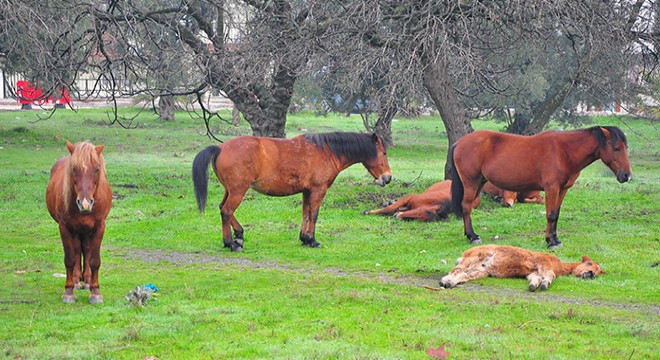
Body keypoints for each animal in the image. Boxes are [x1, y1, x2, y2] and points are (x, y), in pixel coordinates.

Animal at [45, 141, 111, 304]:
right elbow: (69, 259)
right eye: (74, 169)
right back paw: (76, 280)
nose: (85, 204)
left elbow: (94, 260)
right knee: (76, 251)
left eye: (97, 169)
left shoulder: (99, 227)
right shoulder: (64, 227)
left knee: (86, 250)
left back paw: (86, 280)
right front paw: (68, 292)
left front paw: (95, 292)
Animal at [192, 131, 392, 252]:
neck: (326, 151)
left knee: (222, 208)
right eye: (383, 153)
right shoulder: (318, 190)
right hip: (238, 191)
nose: (388, 178)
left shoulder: (306, 191)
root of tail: (220, 148)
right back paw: (231, 243)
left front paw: (304, 238)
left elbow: (305, 214)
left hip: (230, 190)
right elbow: (314, 215)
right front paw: (312, 240)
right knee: (227, 211)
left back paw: (238, 235)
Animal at [440, 245, 604, 292]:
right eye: (590, 264)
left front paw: (534, 286)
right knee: (457, 270)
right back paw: (444, 281)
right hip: (474, 257)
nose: (590, 274)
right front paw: (544, 285)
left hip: (480, 271)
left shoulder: (533, 272)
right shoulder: (544, 264)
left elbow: (536, 278)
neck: (559, 265)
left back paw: (450, 283)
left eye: (598, 272)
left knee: (463, 275)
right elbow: (549, 275)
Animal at [452, 125, 632, 249]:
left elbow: (556, 215)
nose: (627, 175)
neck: (564, 151)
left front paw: (555, 239)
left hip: (479, 182)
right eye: (616, 148)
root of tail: (460, 142)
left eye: (625, 148)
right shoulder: (551, 188)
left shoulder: (562, 189)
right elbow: (550, 215)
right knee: (466, 206)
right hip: (471, 182)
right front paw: (550, 242)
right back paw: (473, 236)